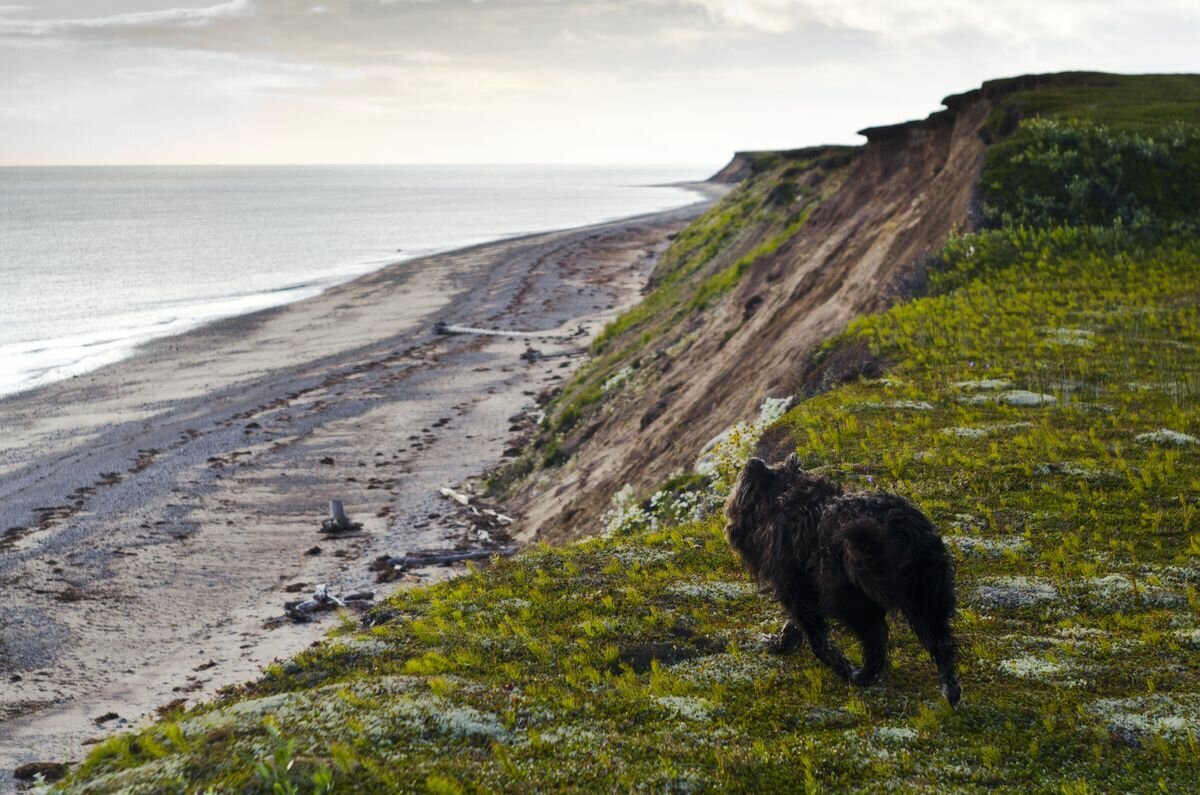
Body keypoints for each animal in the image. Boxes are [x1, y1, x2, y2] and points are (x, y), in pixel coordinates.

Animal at [720, 458, 964, 706]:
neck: (788, 499)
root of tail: (894, 531)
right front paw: (783, 642)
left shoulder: (795, 587)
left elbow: (817, 638)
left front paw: (839, 665)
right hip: (927, 591)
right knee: (941, 640)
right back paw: (950, 691)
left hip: (851, 598)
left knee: (875, 638)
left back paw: (863, 675)